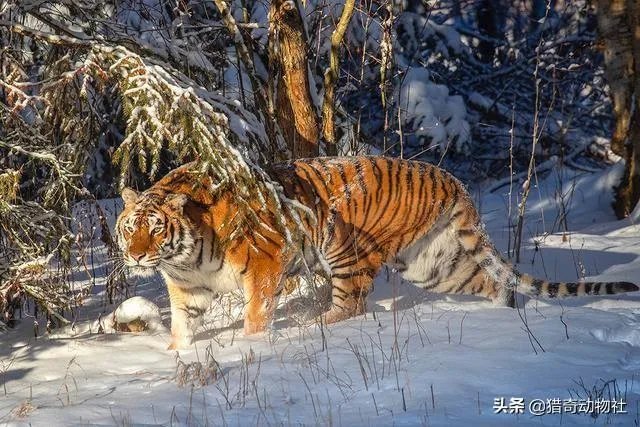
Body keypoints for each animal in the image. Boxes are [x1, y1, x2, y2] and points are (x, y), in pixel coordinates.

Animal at [115, 156, 638, 349]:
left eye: (155, 230)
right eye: (129, 229)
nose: (137, 257)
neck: (183, 254)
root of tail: (451, 178)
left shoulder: (263, 269)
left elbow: (256, 316)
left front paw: (251, 348)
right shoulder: (187, 289)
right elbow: (182, 327)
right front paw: (176, 356)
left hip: (346, 249)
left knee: (351, 304)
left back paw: (314, 327)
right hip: (433, 264)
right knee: (489, 281)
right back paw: (508, 315)